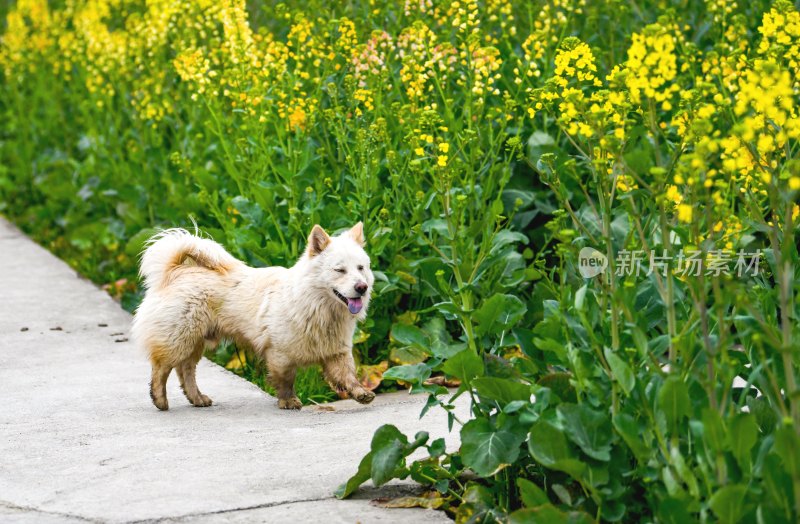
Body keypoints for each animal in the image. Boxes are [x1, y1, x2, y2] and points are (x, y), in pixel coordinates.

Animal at [130, 223, 376, 412]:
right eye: (340, 270)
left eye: (361, 268)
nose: (362, 287)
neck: (317, 305)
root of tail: (176, 271)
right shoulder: (280, 354)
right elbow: (286, 380)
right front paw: (288, 401)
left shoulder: (336, 353)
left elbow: (348, 376)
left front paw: (360, 393)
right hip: (178, 338)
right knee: (161, 369)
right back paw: (159, 399)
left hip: (195, 342)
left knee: (185, 371)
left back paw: (197, 398)